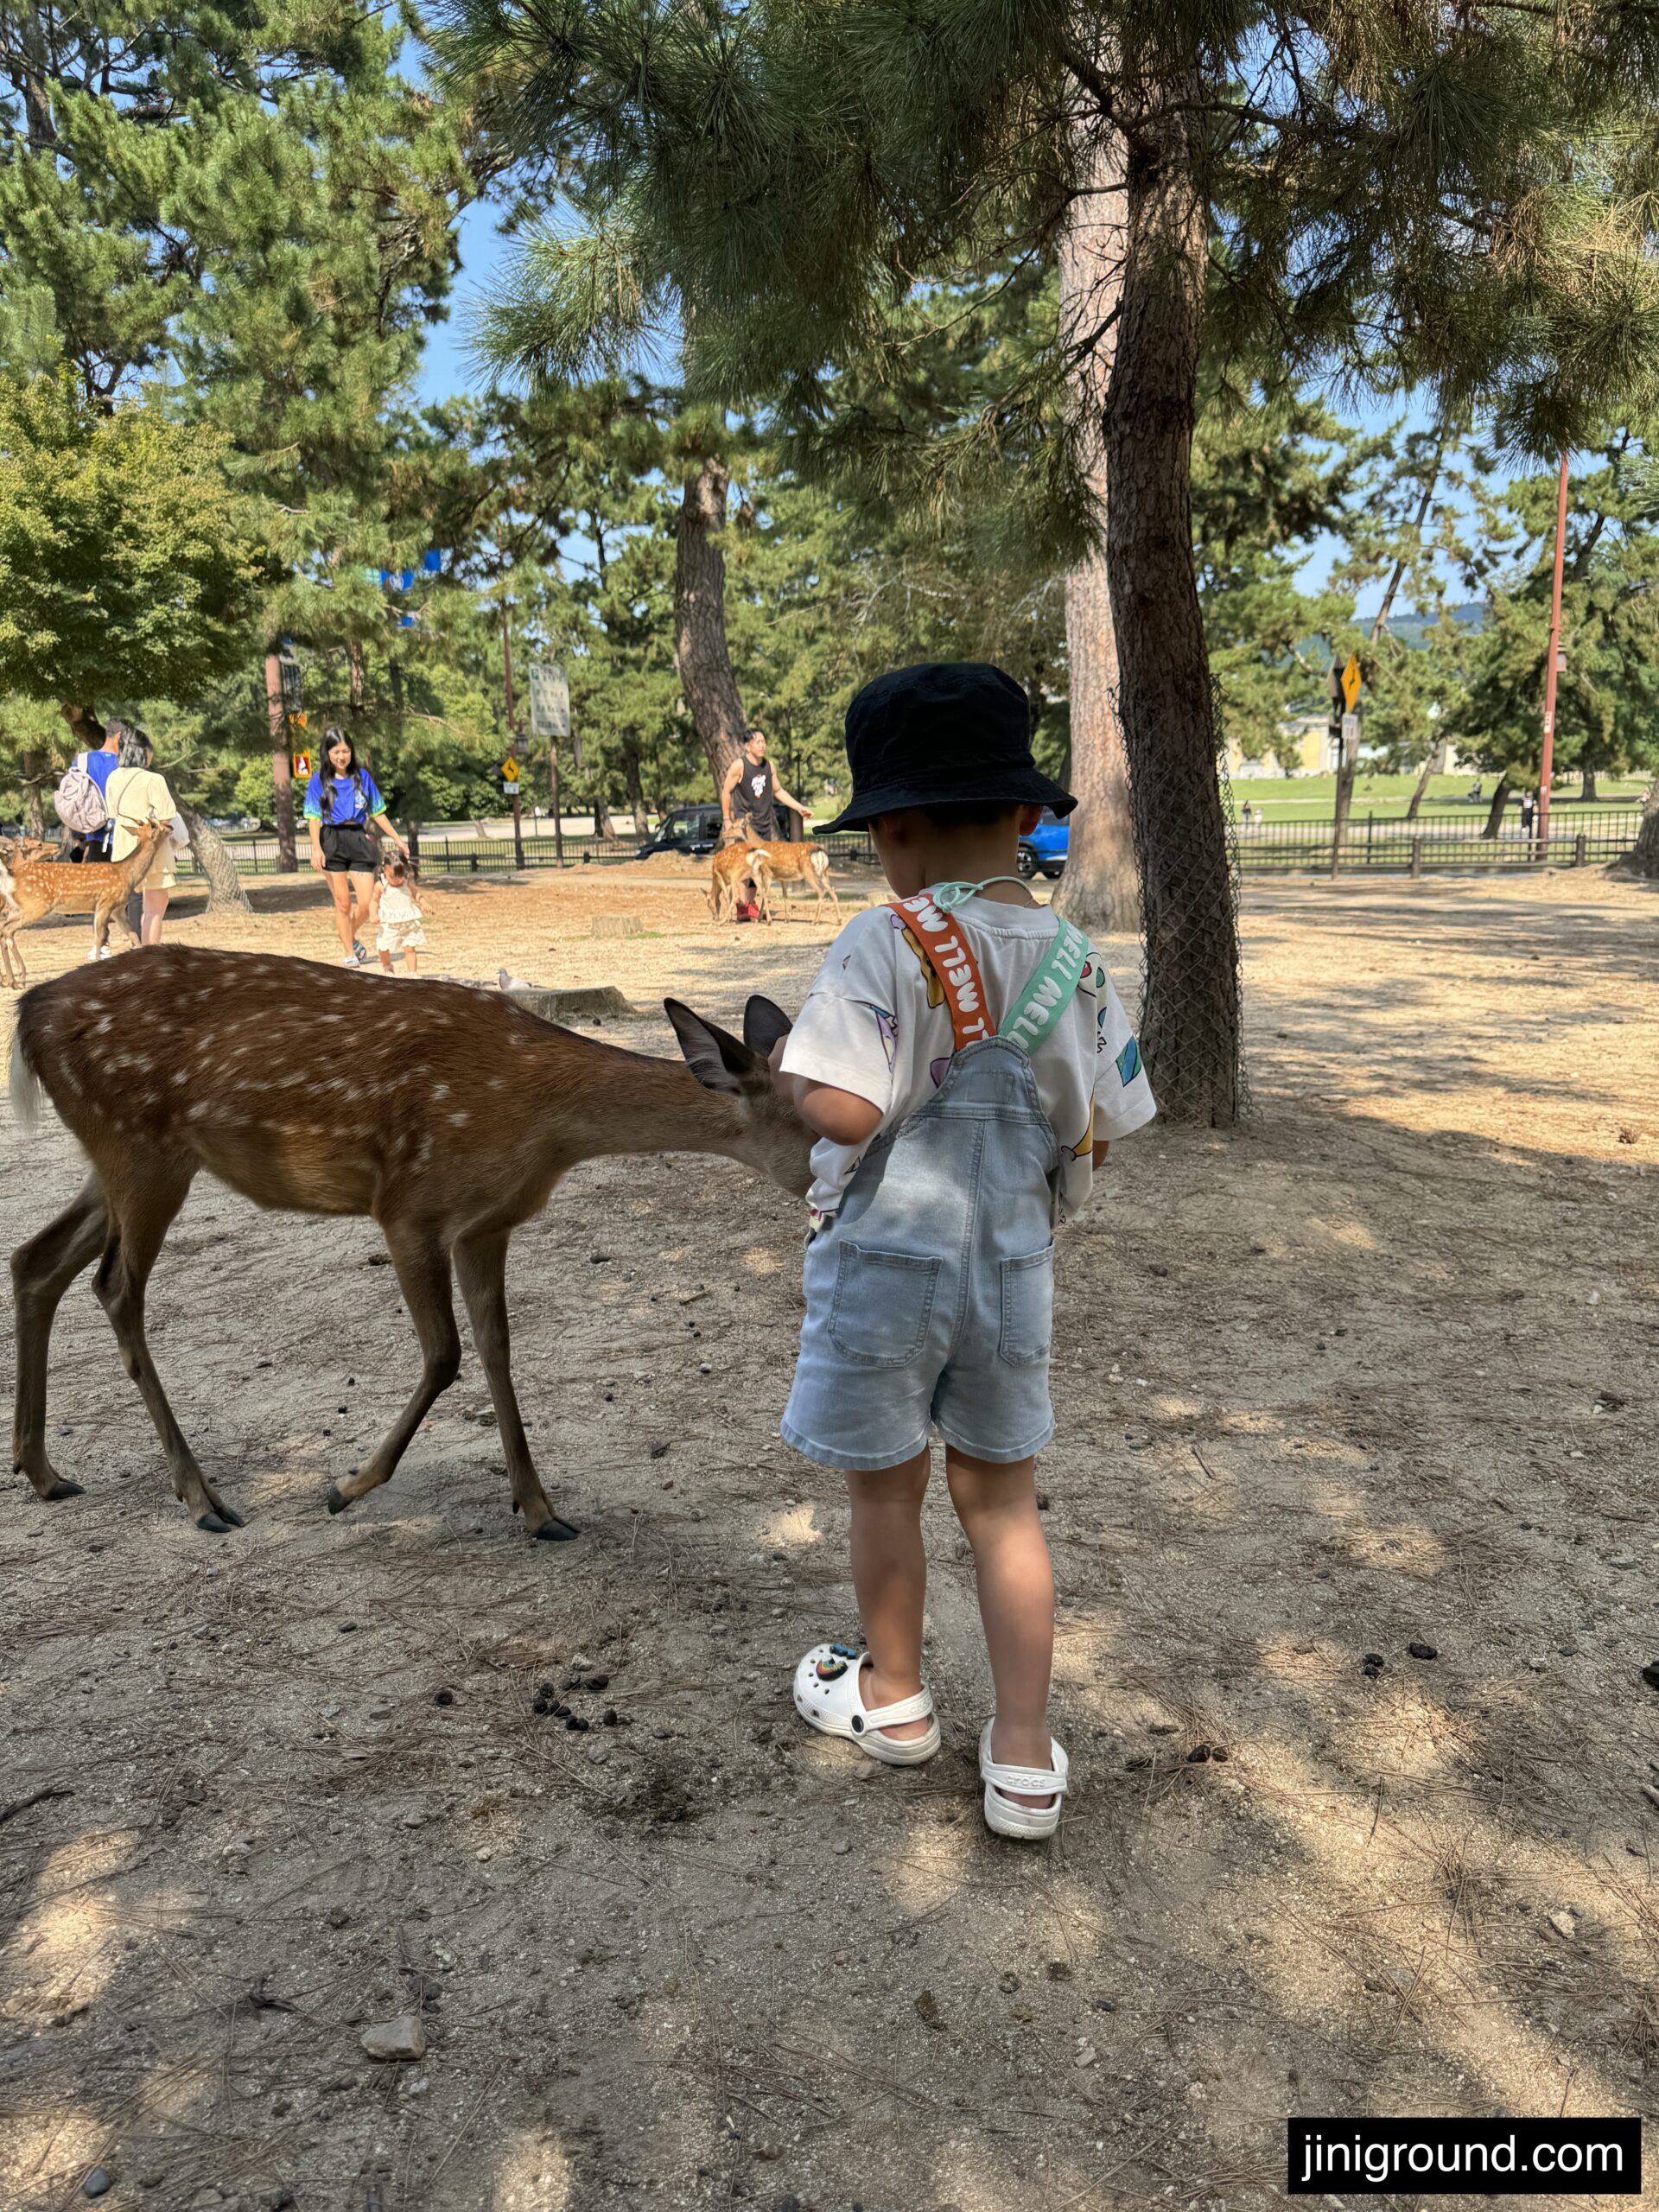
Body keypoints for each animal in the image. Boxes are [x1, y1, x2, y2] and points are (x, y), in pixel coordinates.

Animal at [0, 824, 172, 988]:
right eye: (158, 825)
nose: (170, 827)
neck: (127, 874)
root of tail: (11, 874)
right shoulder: (105, 904)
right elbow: (99, 937)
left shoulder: (118, 910)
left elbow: (134, 935)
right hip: (36, 905)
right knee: (7, 929)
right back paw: (19, 979)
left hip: (17, 908)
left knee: (5, 929)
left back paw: (14, 980)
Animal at [9, 948, 810, 1540]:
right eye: (815, 1123)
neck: (542, 1123)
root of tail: (28, 1010)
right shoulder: (408, 1205)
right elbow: (445, 1354)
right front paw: (347, 1486)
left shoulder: (488, 1222)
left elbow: (496, 1346)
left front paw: (540, 1510)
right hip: (138, 1146)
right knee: (114, 1287)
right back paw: (202, 1498)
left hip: (122, 1158)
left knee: (34, 1258)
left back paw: (43, 1472)